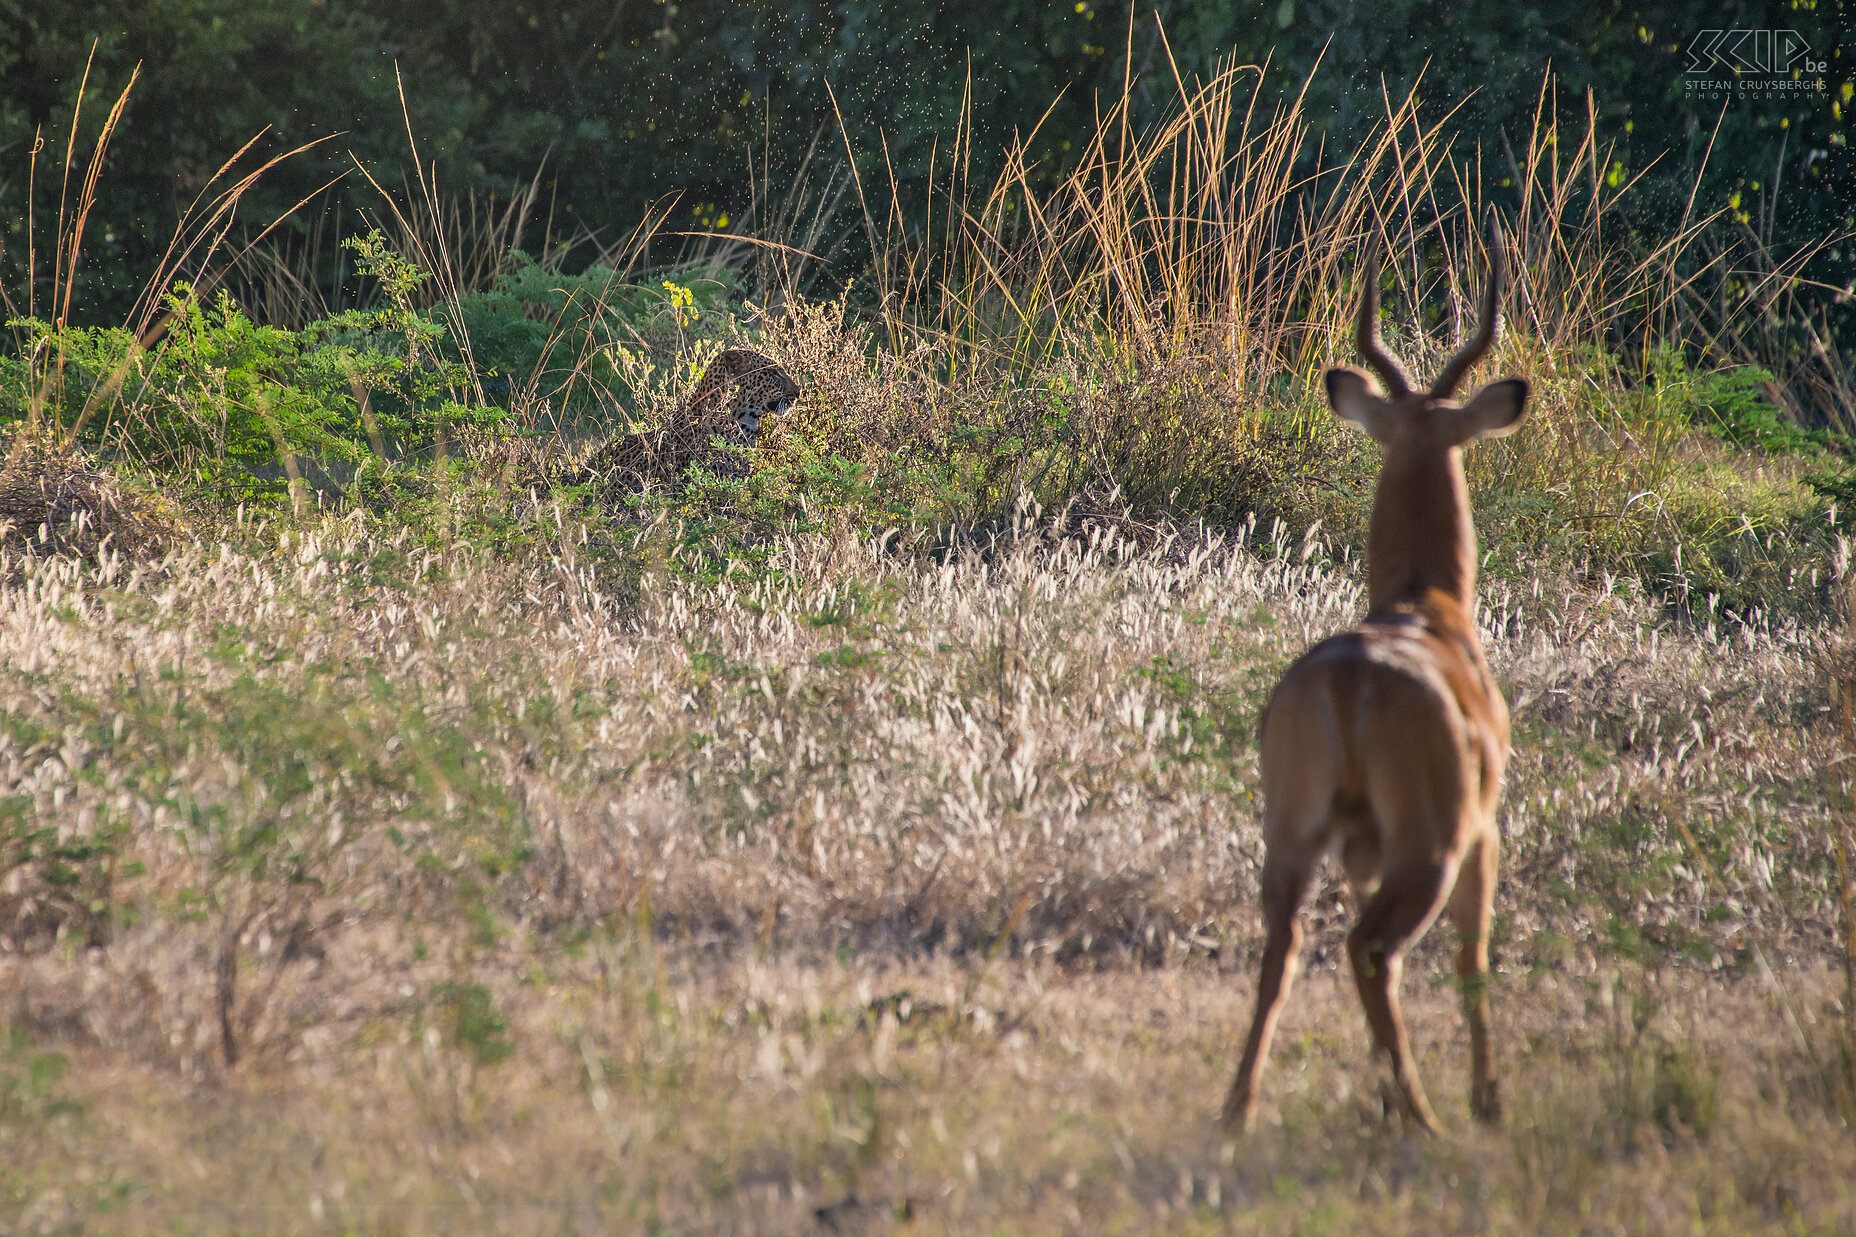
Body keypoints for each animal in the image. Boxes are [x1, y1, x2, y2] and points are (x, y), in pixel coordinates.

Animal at [1217, 209, 1521, 1129]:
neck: (1424, 604)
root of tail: (1352, 676)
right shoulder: (1484, 834)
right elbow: (1473, 958)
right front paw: (1488, 1099)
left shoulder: (1357, 850)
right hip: (1430, 845)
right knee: (1373, 950)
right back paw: (1425, 1115)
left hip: (1294, 833)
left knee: (1285, 948)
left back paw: (1241, 1108)